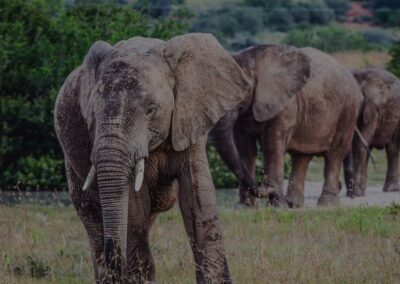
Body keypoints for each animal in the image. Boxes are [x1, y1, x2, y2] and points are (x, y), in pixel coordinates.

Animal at [54, 32, 250, 282]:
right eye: (92, 115)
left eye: (151, 110)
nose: (118, 267)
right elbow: (133, 209)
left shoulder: (191, 119)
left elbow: (198, 199)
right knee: (93, 218)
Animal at [209, 45, 362, 209]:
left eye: (243, 89)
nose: (261, 186)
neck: (255, 60)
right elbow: (244, 147)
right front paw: (246, 208)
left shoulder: (286, 104)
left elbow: (271, 144)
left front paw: (276, 205)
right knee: (302, 156)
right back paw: (293, 204)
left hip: (348, 109)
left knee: (335, 153)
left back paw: (326, 204)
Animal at [342, 67, 400, 196]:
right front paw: (354, 193)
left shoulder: (372, 109)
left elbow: (359, 144)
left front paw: (356, 193)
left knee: (393, 148)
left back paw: (390, 190)